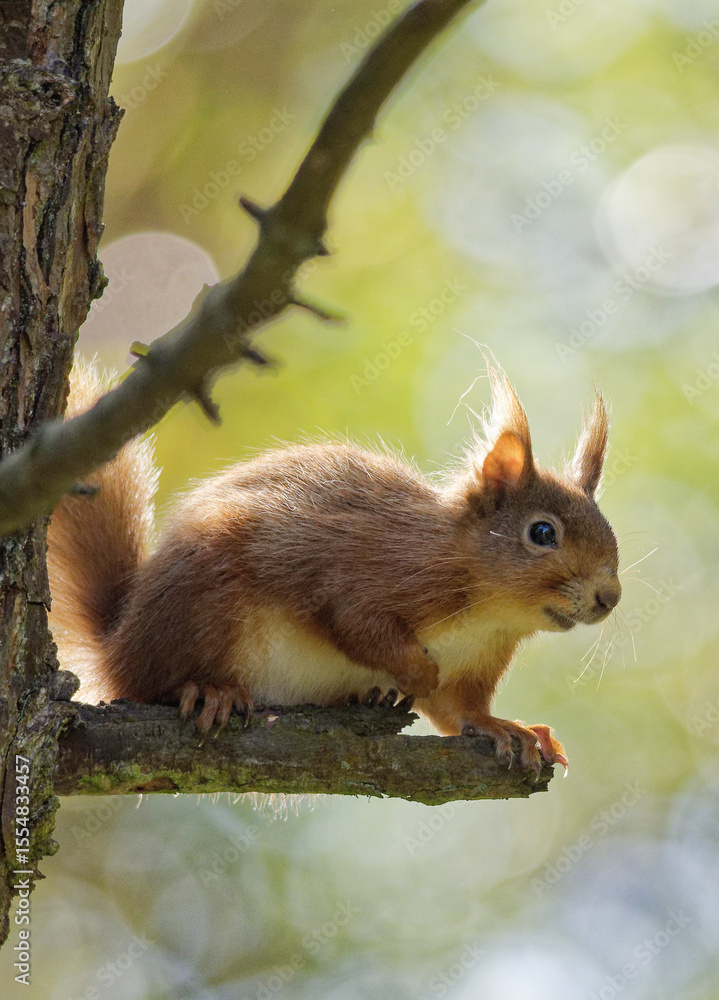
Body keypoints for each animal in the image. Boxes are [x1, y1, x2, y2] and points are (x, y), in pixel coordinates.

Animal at [47, 360, 621, 773]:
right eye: (542, 533)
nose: (609, 598)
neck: (489, 611)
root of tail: (118, 644)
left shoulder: (478, 661)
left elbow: (458, 712)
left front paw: (504, 727)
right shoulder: (366, 572)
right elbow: (356, 625)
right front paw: (416, 671)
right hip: (206, 599)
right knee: (154, 682)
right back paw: (209, 690)